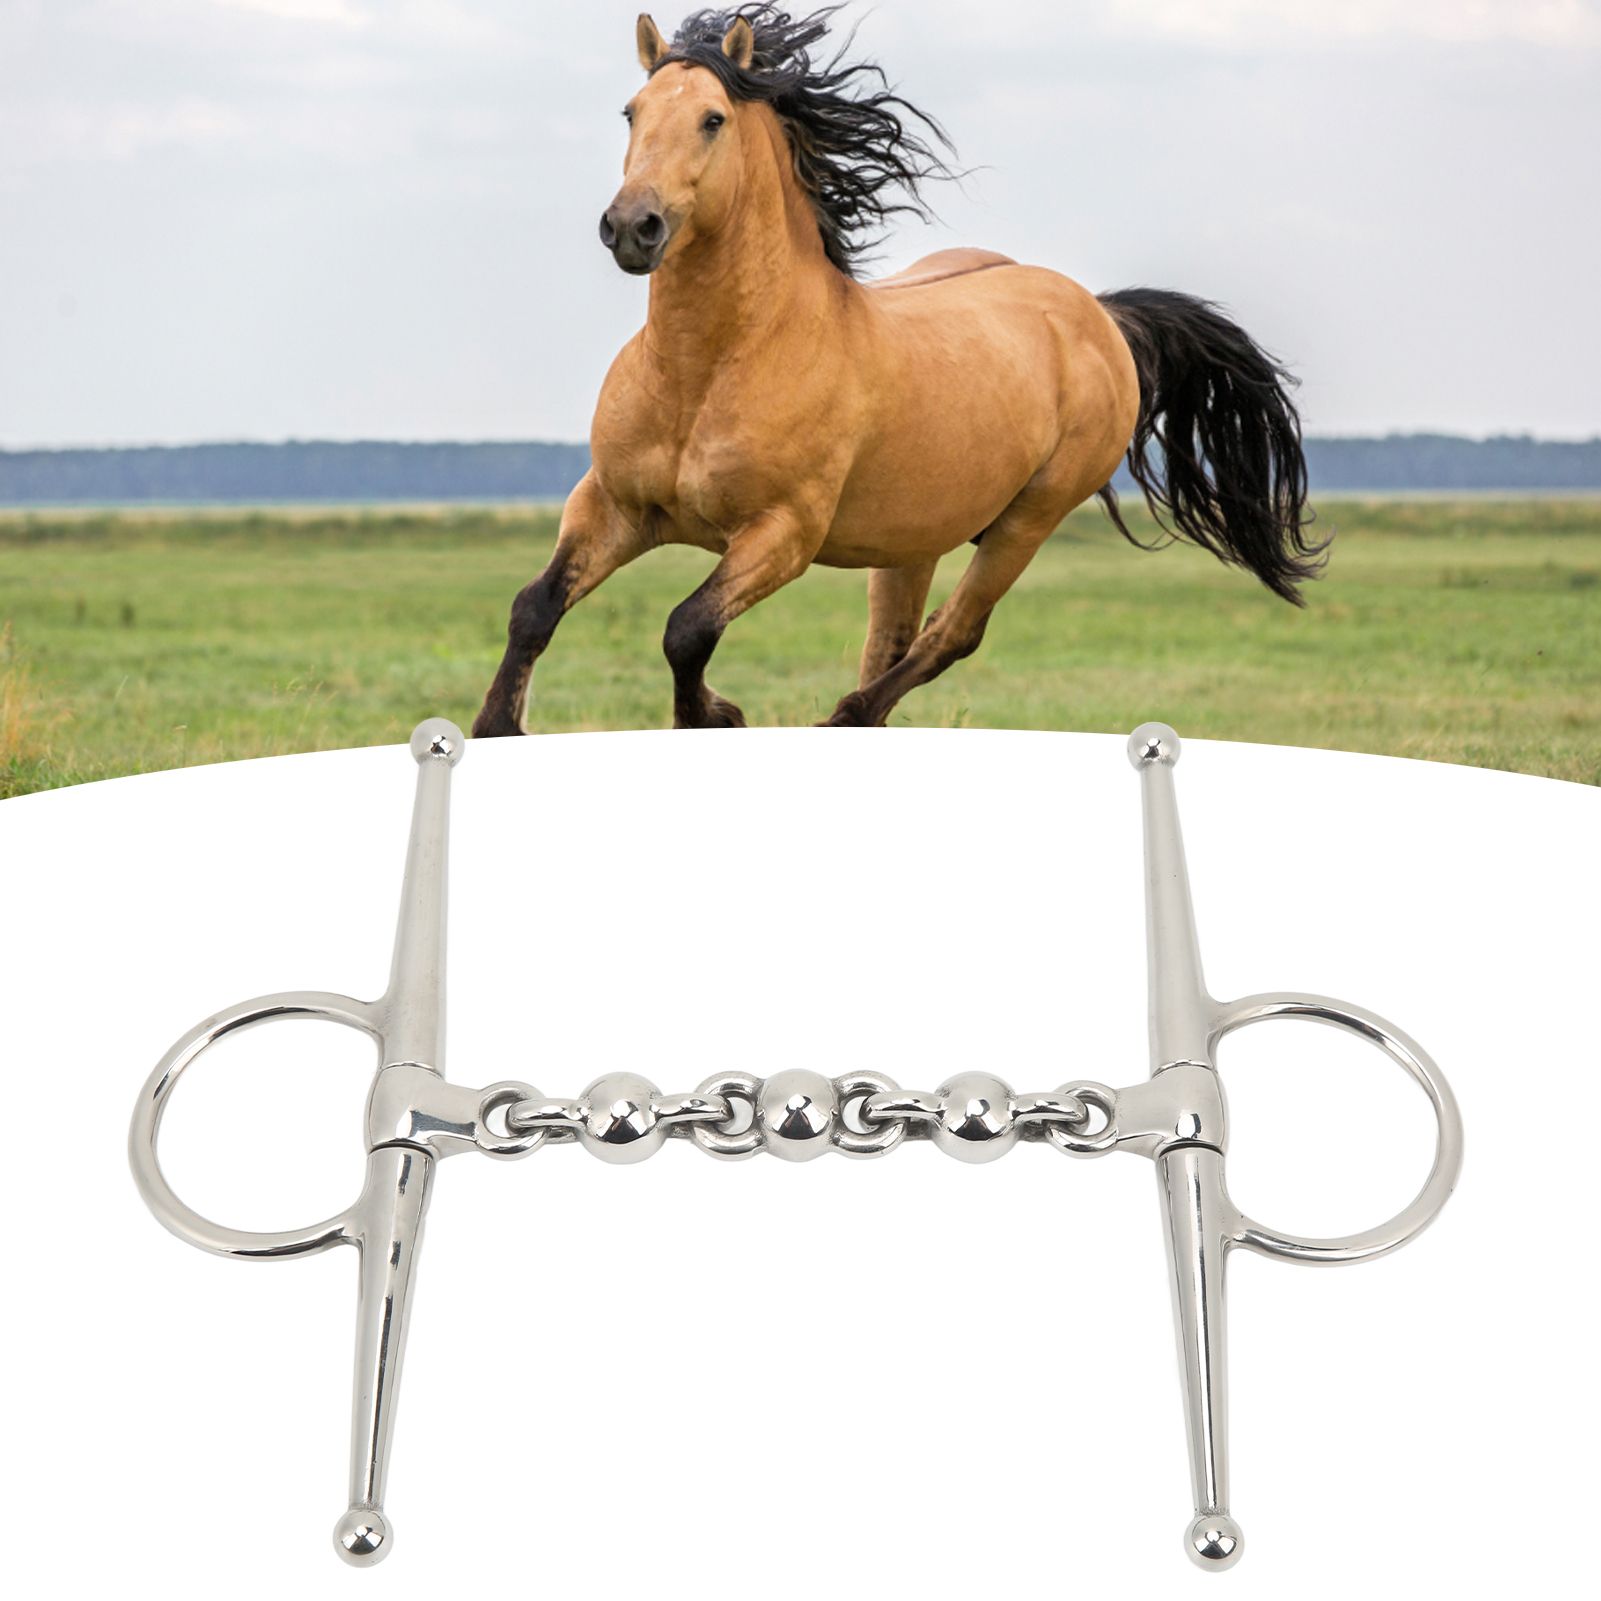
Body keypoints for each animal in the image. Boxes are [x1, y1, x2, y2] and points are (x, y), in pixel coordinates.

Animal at [473, 5, 1324, 738]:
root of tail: (1098, 314)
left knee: (949, 635)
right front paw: (497, 727)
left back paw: (843, 718)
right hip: (914, 538)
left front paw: (718, 717)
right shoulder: (611, 504)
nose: (631, 227)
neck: (708, 369)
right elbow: (532, 607)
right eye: (631, 113)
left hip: (1027, 520)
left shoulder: (782, 534)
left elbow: (687, 628)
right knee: (893, 640)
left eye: (712, 119)